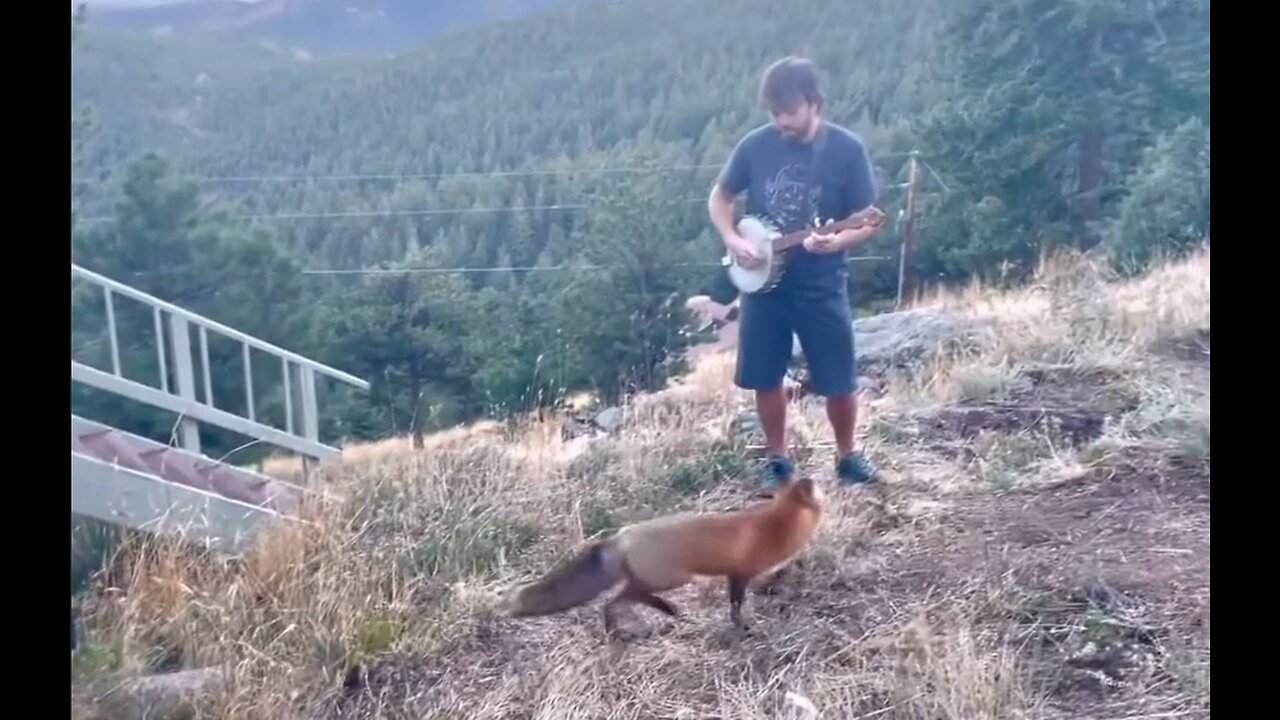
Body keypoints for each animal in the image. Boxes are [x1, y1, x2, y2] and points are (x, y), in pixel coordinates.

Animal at [504, 476, 824, 632]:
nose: (809, 476)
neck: (775, 525)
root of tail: (620, 537)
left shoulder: (740, 574)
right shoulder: (738, 574)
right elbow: (736, 605)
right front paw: (742, 627)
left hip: (653, 579)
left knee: (616, 601)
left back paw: (626, 626)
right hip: (673, 579)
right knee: (624, 598)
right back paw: (660, 612)